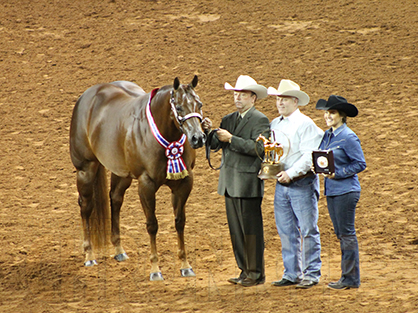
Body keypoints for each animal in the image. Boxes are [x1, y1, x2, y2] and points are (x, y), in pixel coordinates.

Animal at [70, 76, 206, 280]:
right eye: (179, 107)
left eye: (199, 104)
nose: (198, 138)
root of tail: (88, 95)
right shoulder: (146, 184)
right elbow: (152, 225)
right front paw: (155, 270)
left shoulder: (184, 183)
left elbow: (180, 222)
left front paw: (185, 266)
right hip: (86, 169)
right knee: (86, 206)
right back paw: (89, 255)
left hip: (121, 173)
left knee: (115, 199)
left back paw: (118, 250)